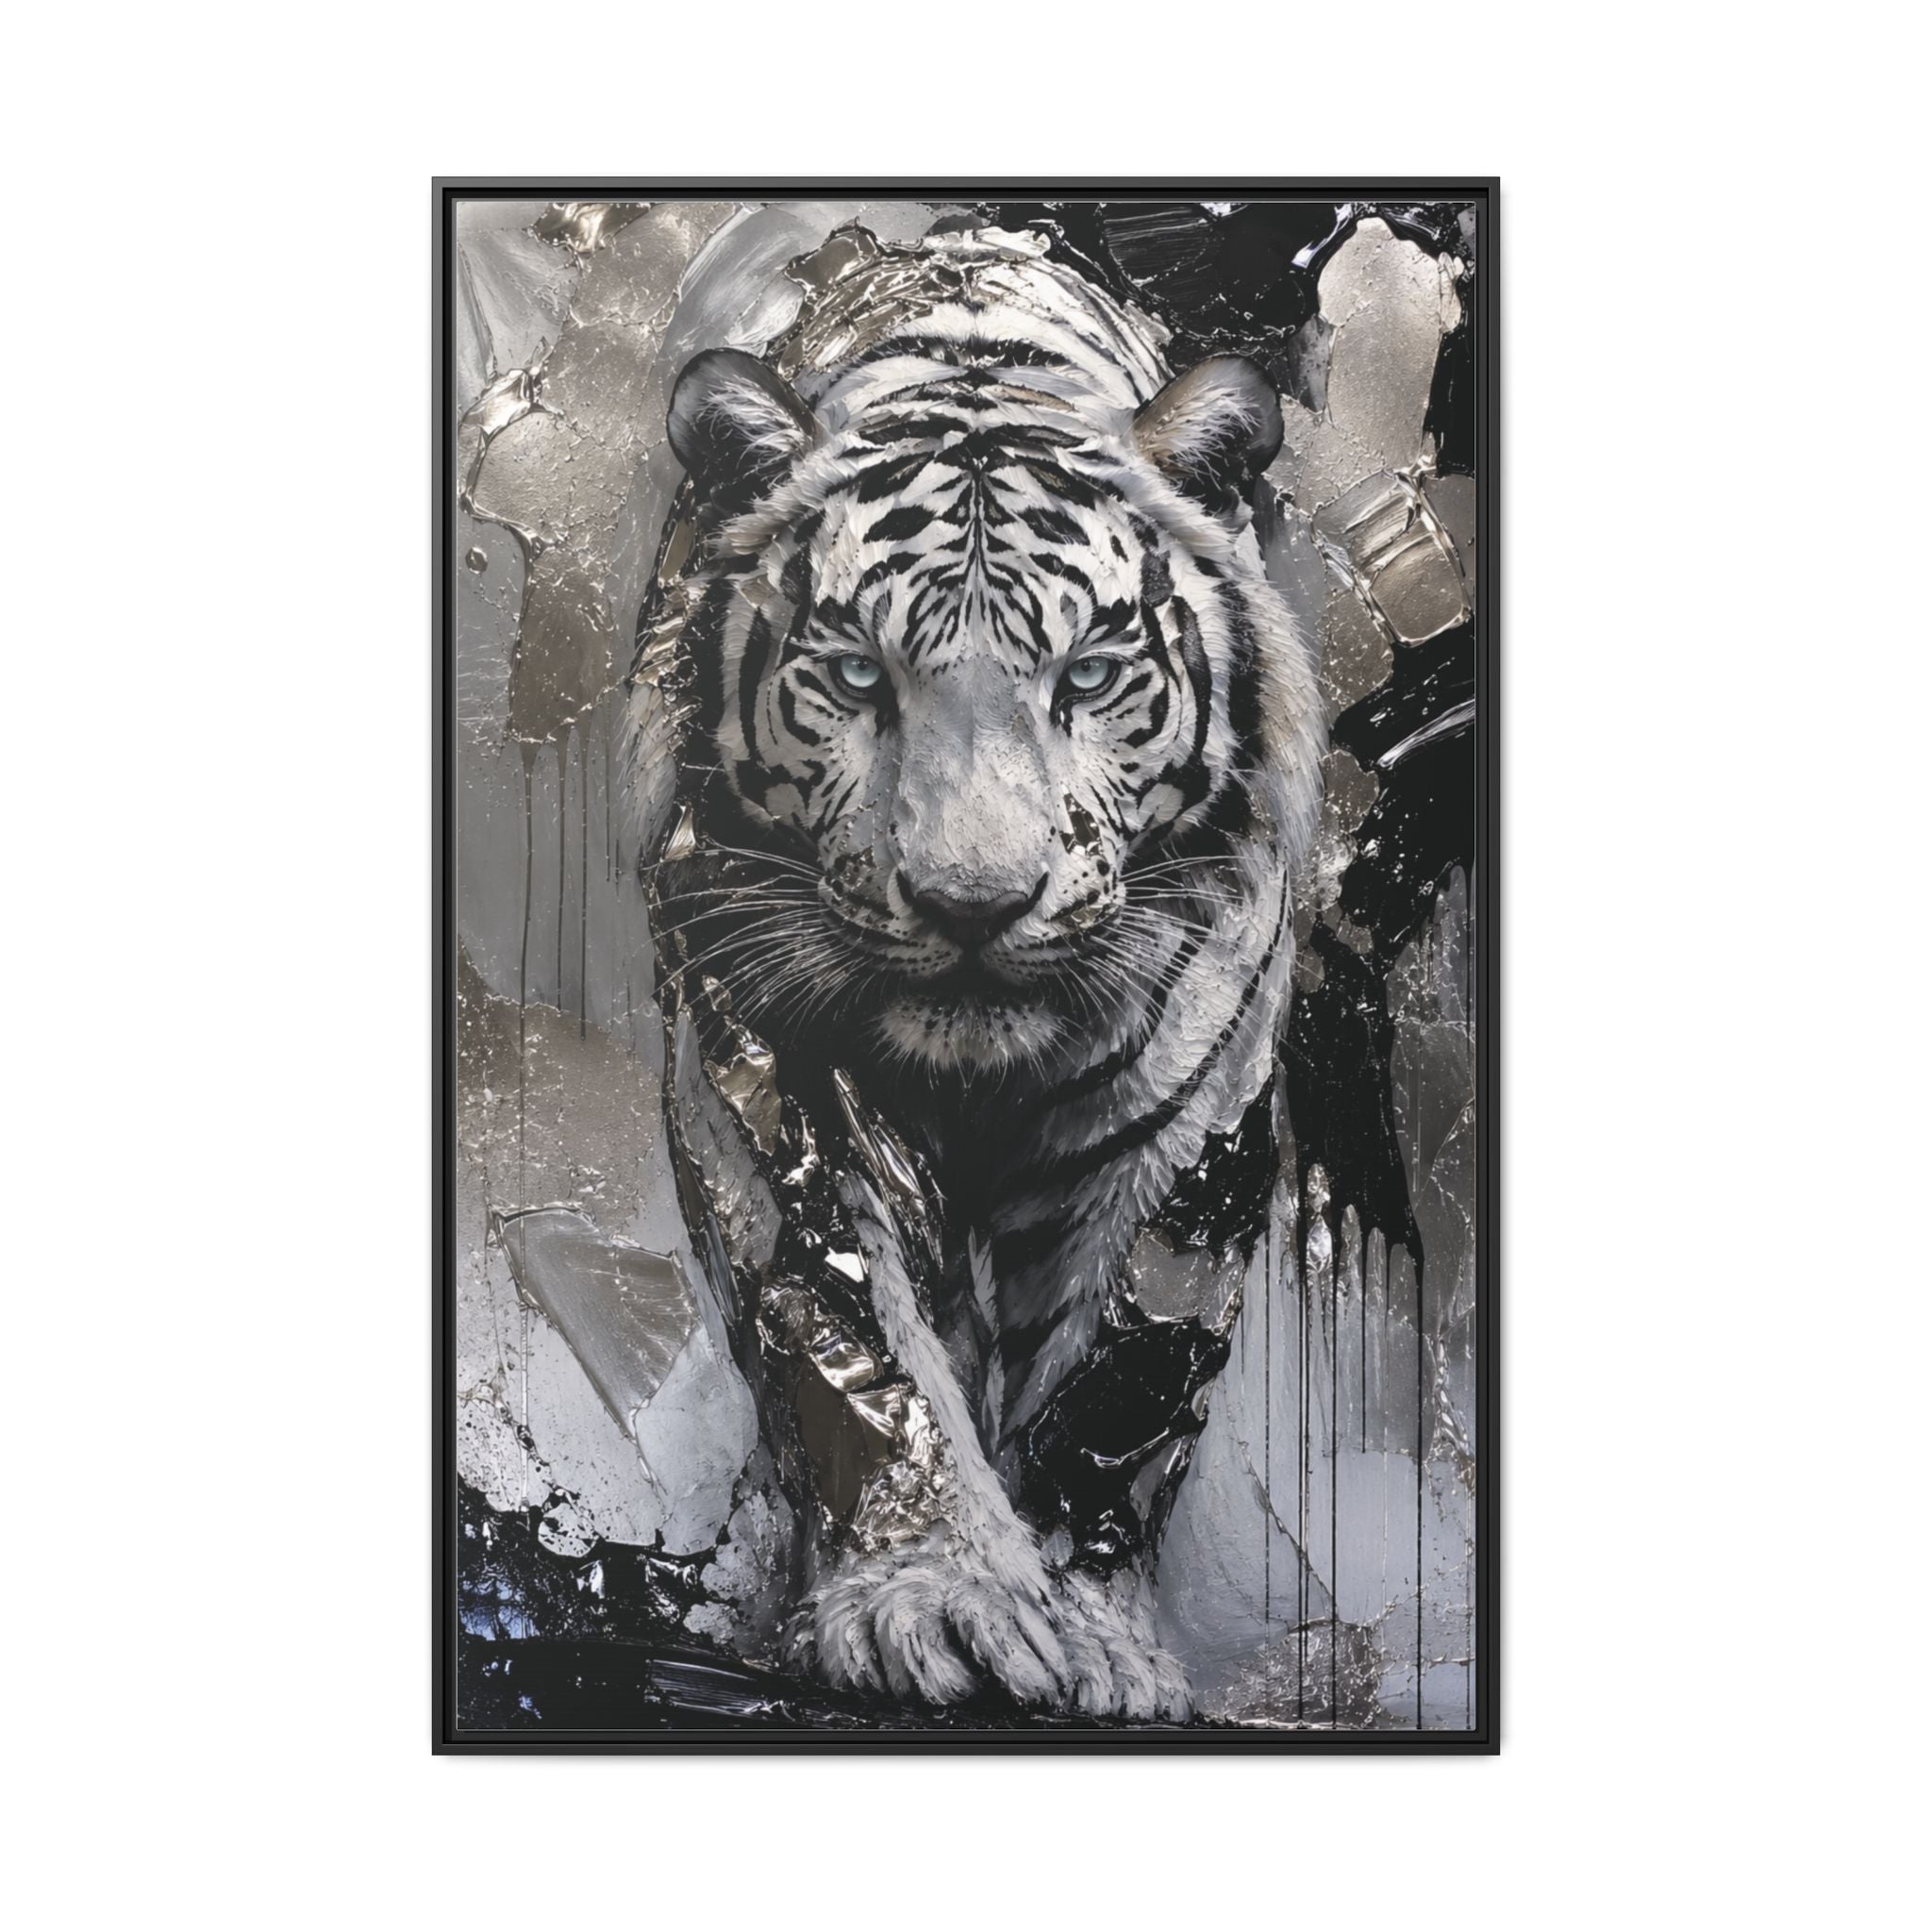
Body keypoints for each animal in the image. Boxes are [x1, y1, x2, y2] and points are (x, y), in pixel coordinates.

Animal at [625, 227, 1325, 1720]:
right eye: (852, 674)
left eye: (1093, 674)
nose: (971, 905)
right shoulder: (765, 1064)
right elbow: (852, 1331)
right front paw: (934, 1603)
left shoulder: (1192, 1109)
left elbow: (1119, 1377)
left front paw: (1096, 1633)